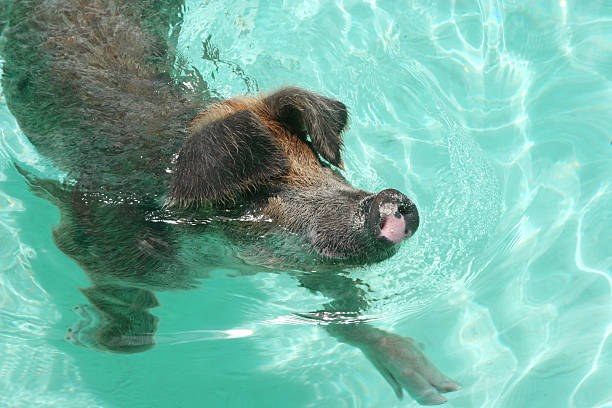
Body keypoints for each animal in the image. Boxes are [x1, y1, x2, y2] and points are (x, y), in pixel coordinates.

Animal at [1, 0, 460, 404]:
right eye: (255, 193)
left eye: (316, 160)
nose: (390, 199)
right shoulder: (94, 233)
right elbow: (129, 330)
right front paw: (82, 337)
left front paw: (438, 388)